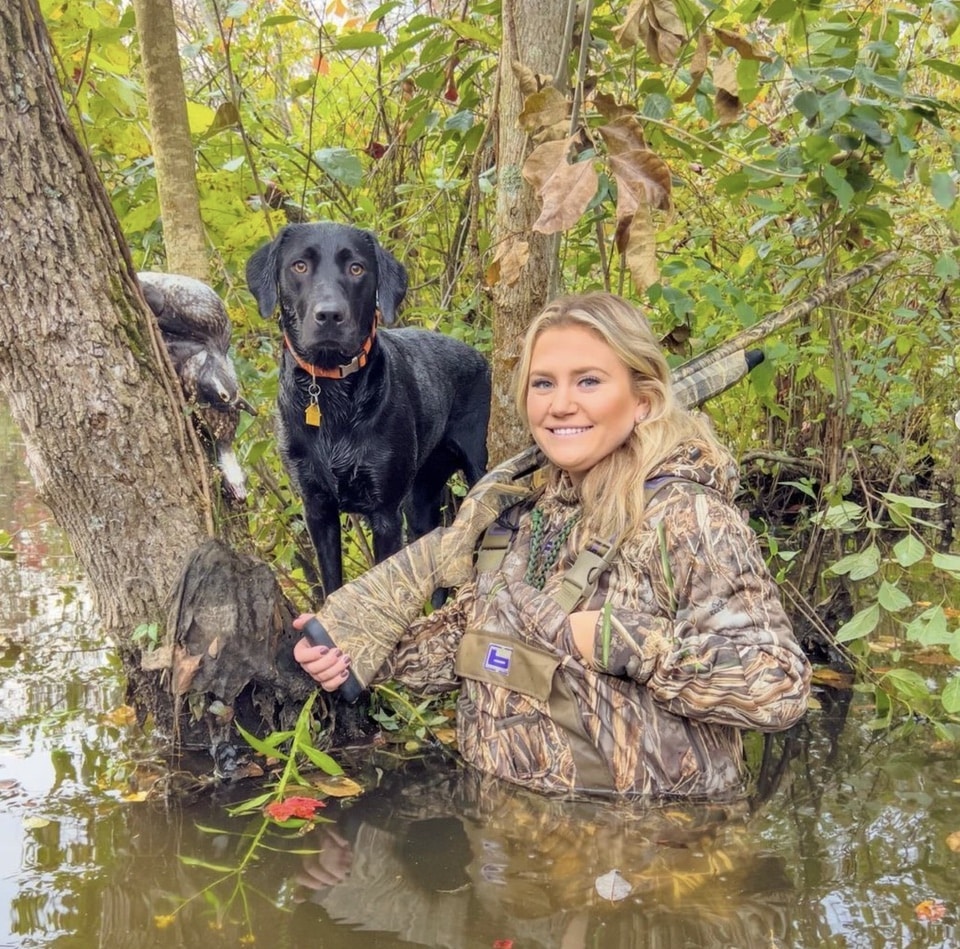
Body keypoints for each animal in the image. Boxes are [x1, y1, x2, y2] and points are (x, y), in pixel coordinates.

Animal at [248, 222, 492, 596]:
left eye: (356, 268)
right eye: (299, 266)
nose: (329, 315)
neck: (332, 395)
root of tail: (476, 356)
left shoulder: (385, 513)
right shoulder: (317, 509)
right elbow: (331, 581)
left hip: (475, 465)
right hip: (419, 503)